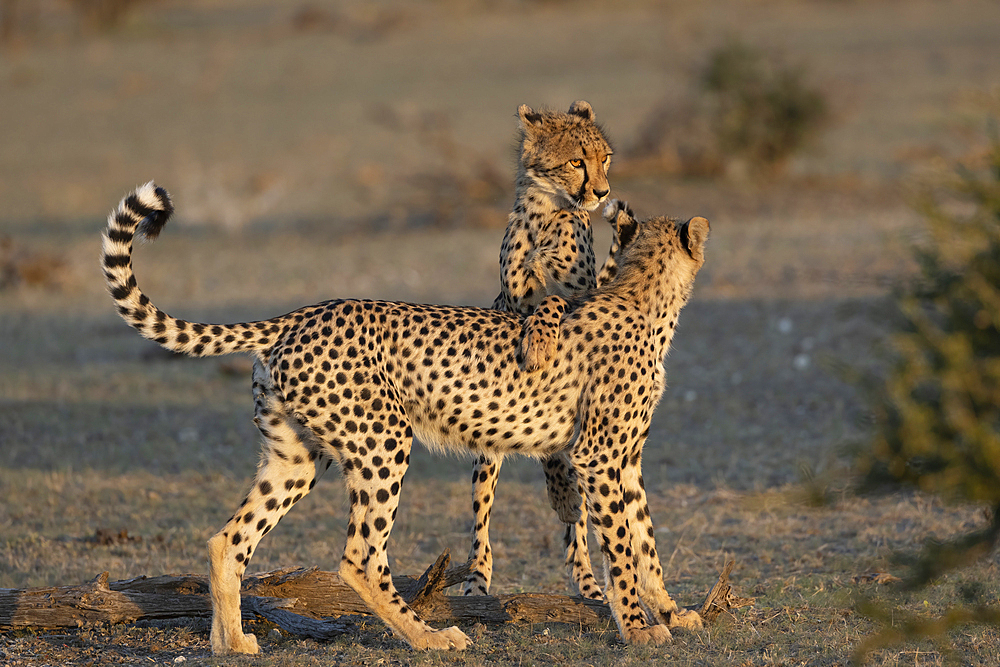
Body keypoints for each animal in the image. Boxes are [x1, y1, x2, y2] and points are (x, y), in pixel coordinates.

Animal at [101, 183, 708, 652]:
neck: (644, 297)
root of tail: (300, 314)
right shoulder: (598, 457)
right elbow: (622, 547)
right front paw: (638, 628)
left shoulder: (626, 461)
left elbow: (646, 539)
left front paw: (672, 612)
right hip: (383, 441)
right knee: (361, 560)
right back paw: (430, 638)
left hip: (295, 457)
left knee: (227, 540)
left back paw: (231, 644)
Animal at [462, 100, 632, 600]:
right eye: (576, 161)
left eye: (604, 158)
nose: (602, 191)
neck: (545, 212)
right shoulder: (512, 304)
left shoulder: (576, 297)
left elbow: (554, 301)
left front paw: (541, 339)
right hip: (486, 456)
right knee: (483, 514)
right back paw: (476, 579)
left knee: (578, 522)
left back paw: (589, 582)